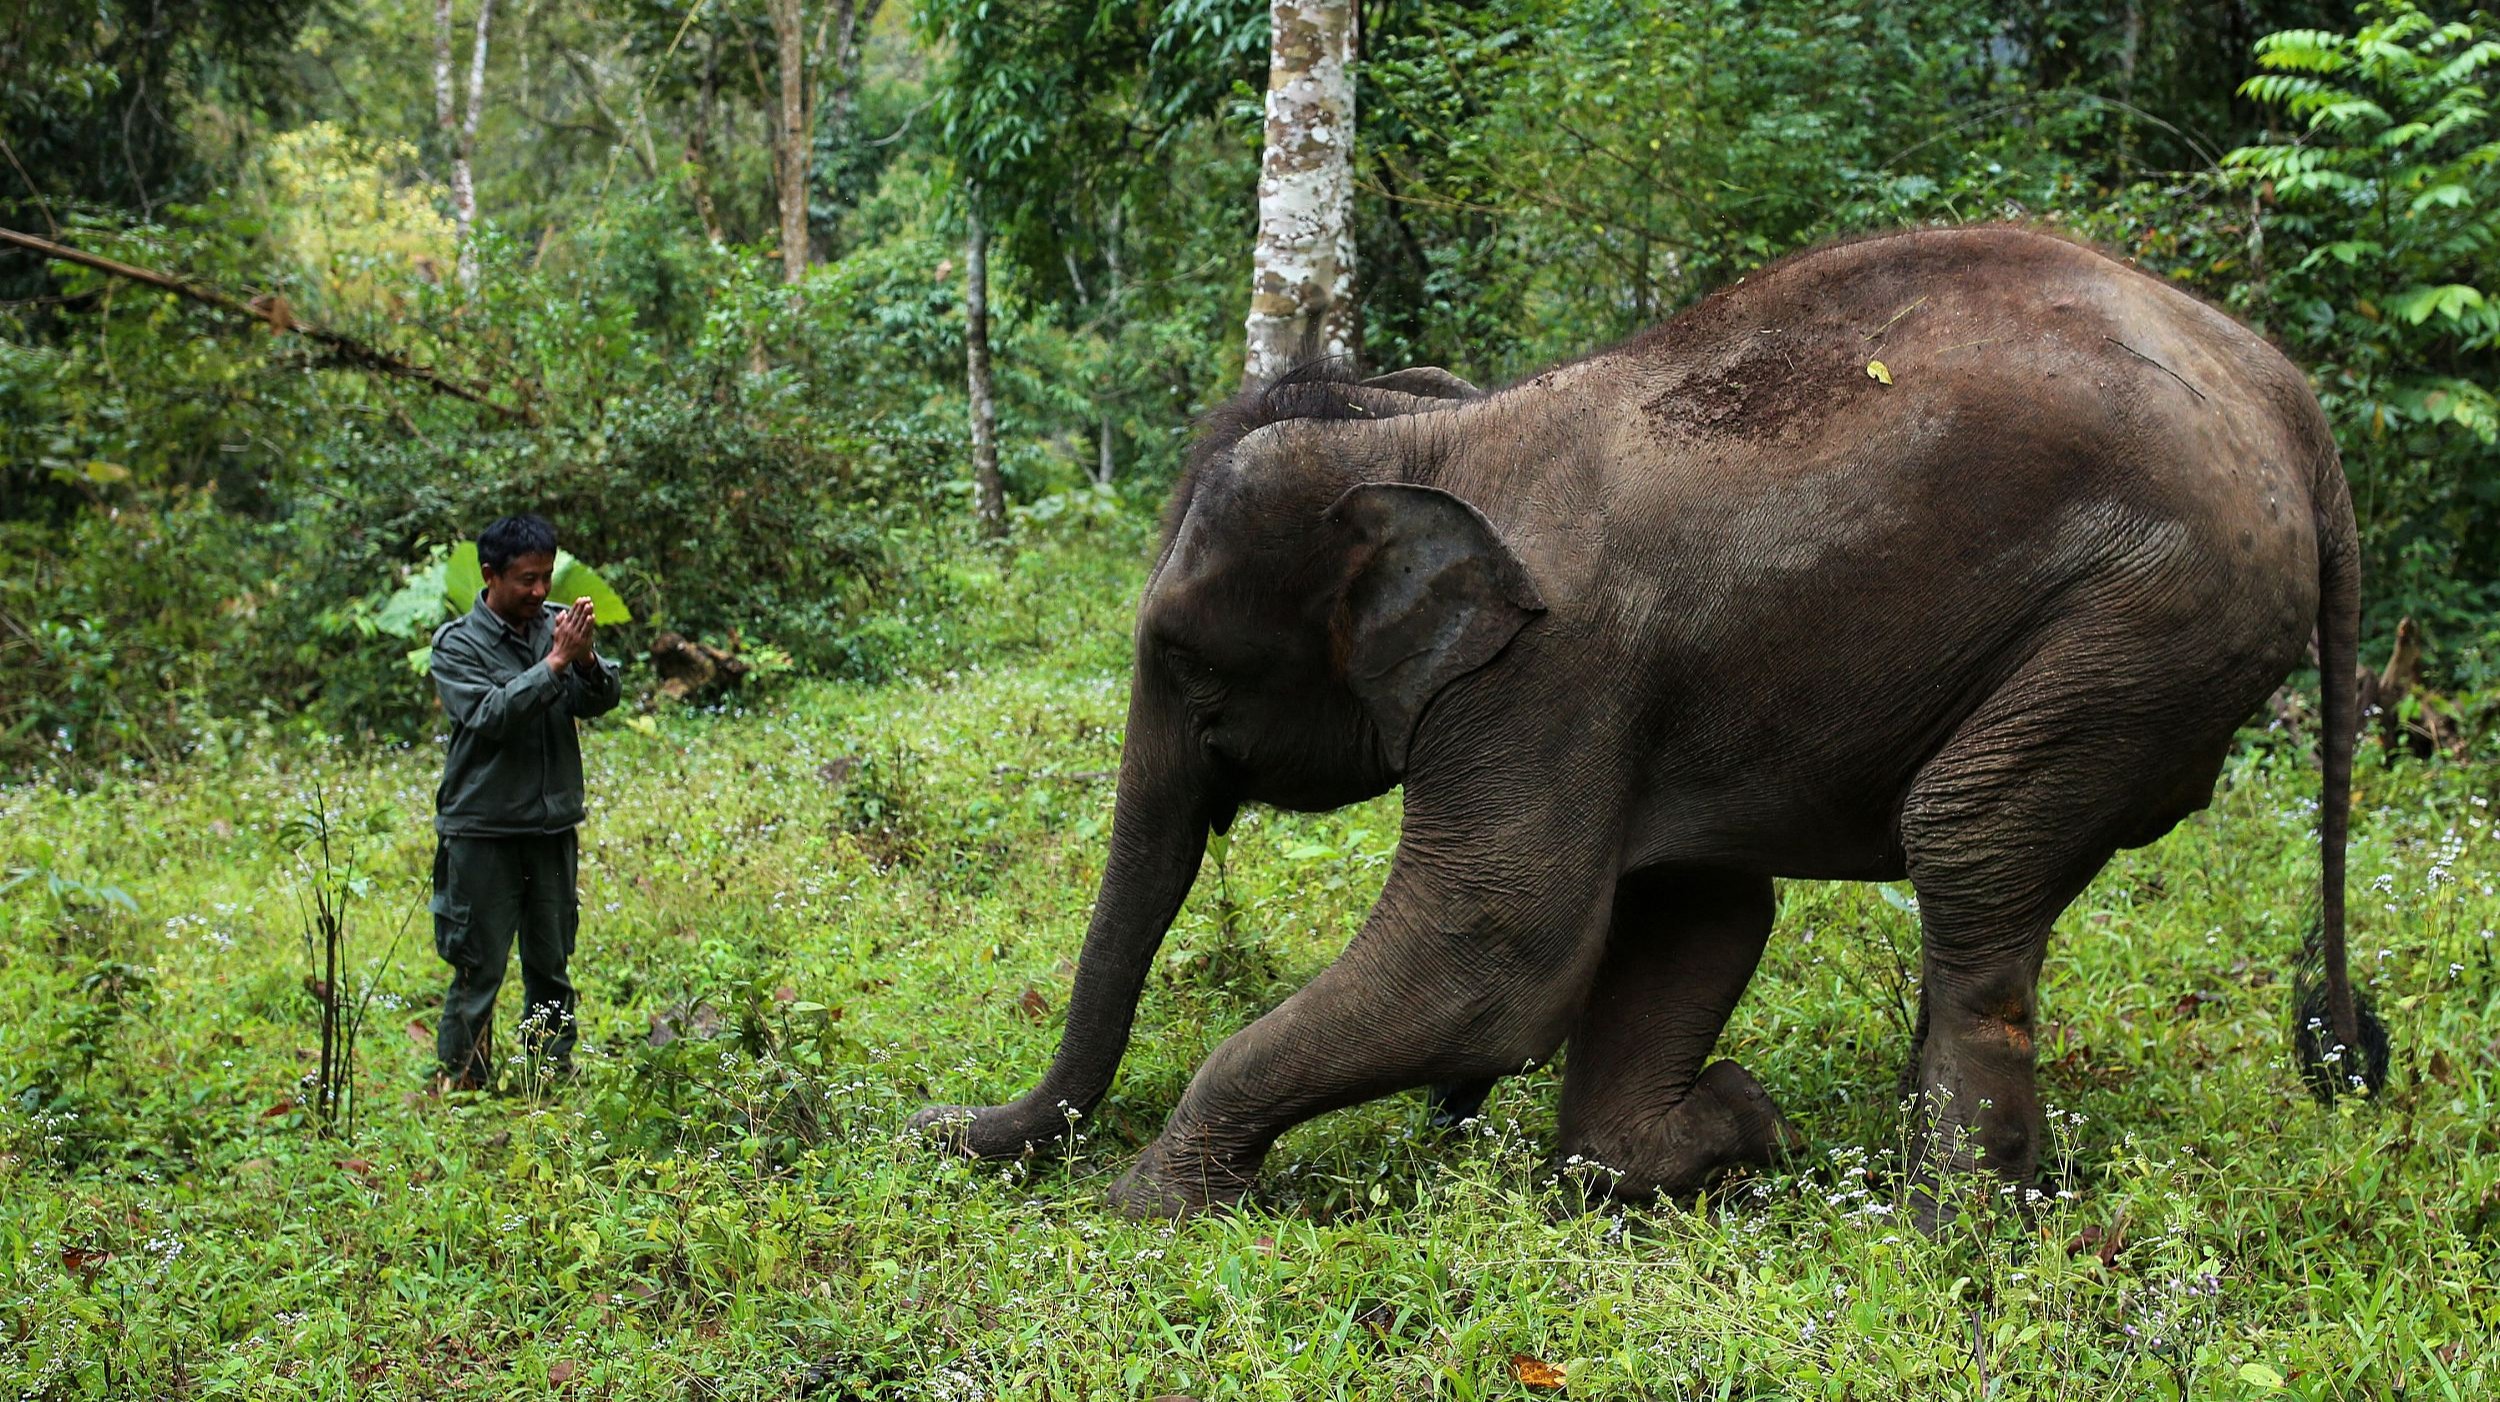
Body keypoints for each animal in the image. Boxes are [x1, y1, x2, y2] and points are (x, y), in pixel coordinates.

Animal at [915, 223, 2380, 1219]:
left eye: (1180, 657)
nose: (934, 1120)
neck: (1442, 436)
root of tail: (2289, 395)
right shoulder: (1640, 698)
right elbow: (1696, 909)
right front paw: (1728, 1130)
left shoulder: (1545, 675)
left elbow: (1490, 953)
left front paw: (1149, 1203)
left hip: (2148, 615)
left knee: (1964, 840)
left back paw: (1943, 1226)